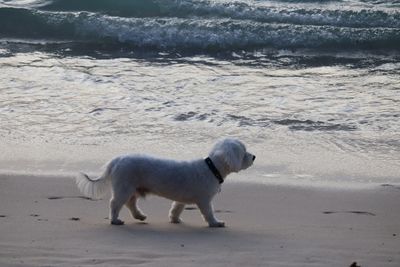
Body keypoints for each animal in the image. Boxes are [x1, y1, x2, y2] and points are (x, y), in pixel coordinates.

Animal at [75, 138, 255, 228]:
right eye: (244, 152)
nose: (254, 157)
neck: (211, 168)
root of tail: (116, 160)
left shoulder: (182, 199)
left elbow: (176, 208)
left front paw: (174, 219)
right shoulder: (204, 200)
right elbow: (209, 212)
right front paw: (215, 223)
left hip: (131, 187)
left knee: (130, 203)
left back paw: (139, 215)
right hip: (124, 187)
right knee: (115, 204)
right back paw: (115, 220)